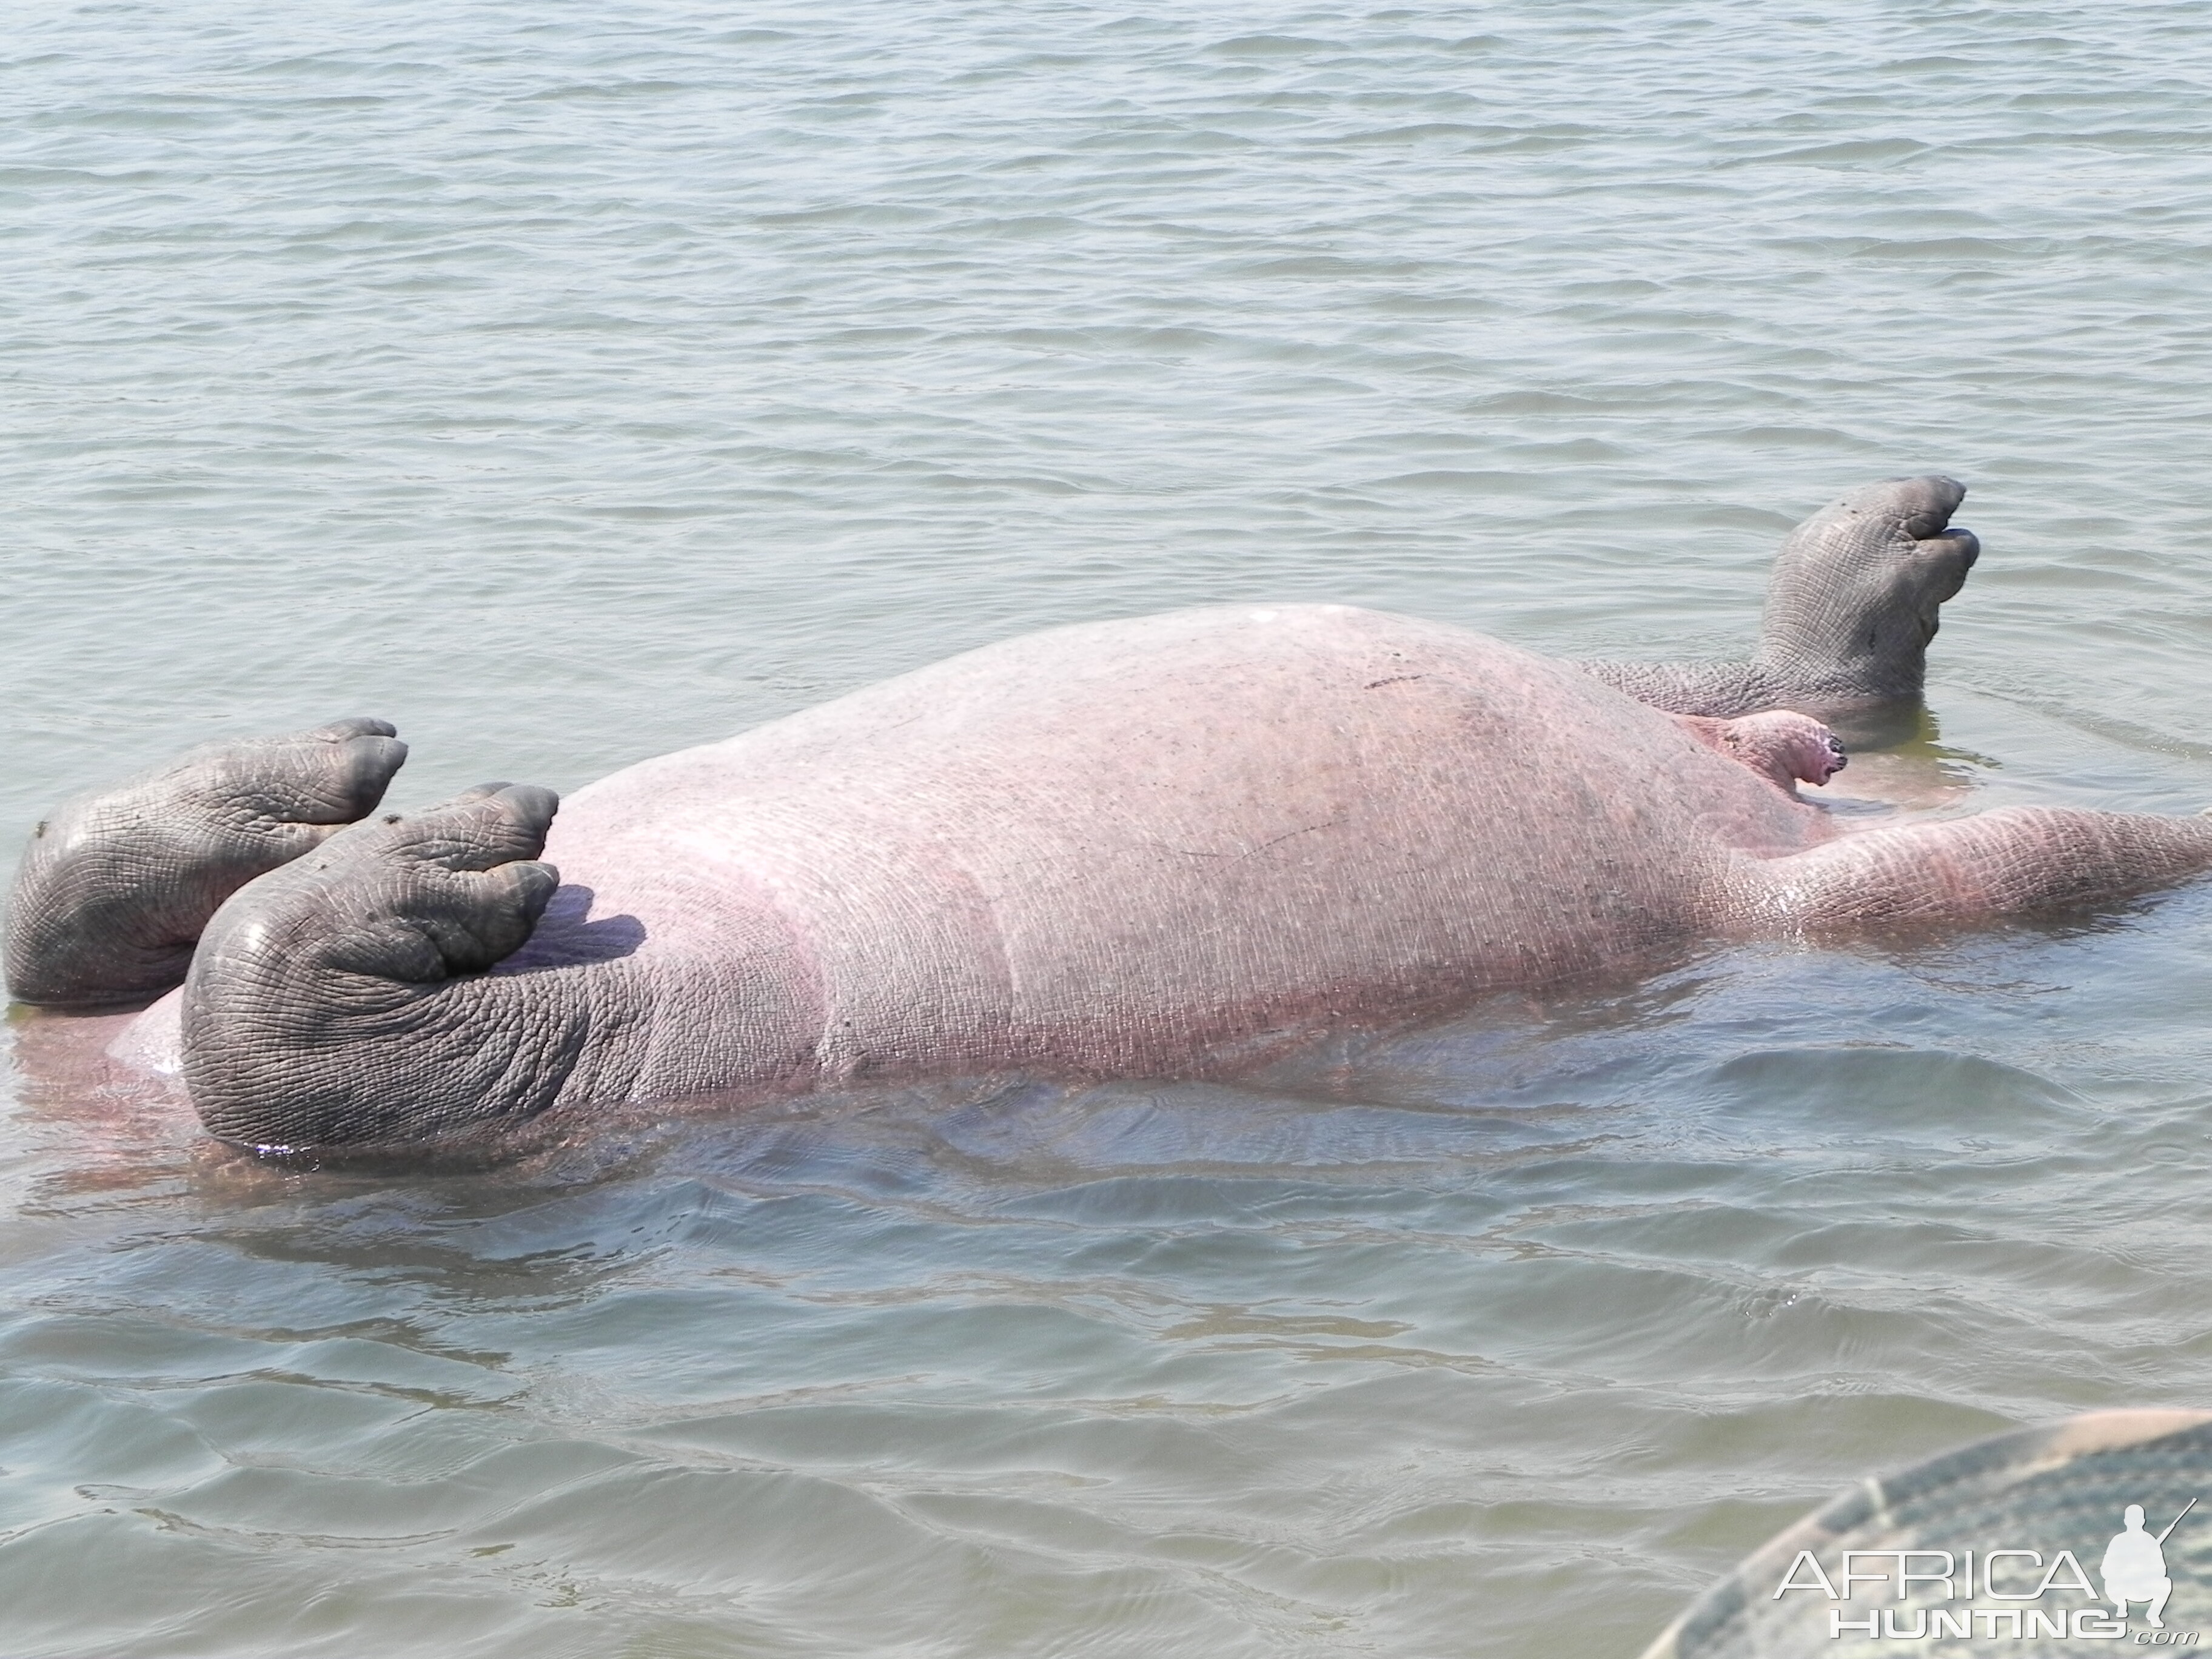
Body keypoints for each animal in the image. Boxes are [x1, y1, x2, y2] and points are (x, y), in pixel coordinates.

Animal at [8, 480, 2203, 1159]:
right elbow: (262, 1023)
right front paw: (415, 835)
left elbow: (91, 909)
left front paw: (339, 793)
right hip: (1820, 884)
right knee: (1992, 828)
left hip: (1712, 770)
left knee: (1814, 713)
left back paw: (1882, 563)